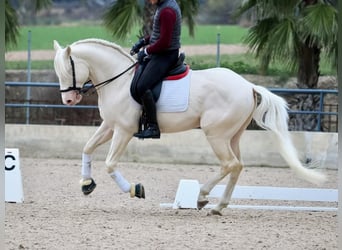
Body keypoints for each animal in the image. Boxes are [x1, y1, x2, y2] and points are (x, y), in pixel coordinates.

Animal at [53, 38, 326, 215]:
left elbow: (110, 164)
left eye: (68, 69)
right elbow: (87, 148)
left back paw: (203, 197)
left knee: (229, 164)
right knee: (237, 166)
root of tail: (249, 86)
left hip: (216, 135)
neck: (118, 80)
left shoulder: (124, 130)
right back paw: (218, 206)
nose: (68, 101)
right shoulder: (110, 125)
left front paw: (135, 189)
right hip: (232, 136)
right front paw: (87, 184)